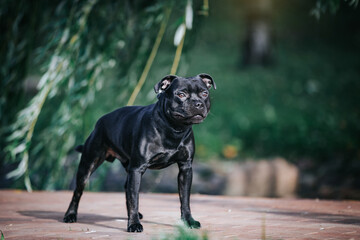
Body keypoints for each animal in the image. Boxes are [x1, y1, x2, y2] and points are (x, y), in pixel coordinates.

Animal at [63, 73, 215, 232]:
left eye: (204, 93)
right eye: (181, 94)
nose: (198, 103)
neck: (173, 128)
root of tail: (100, 122)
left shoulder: (185, 168)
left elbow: (184, 199)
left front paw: (188, 221)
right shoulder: (137, 169)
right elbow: (135, 199)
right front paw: (134, 224)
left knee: (126, 188)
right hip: (88, 165)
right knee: (77, 191)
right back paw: (70, 215)